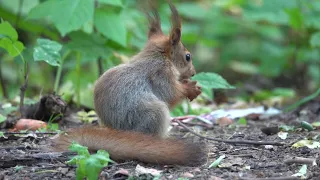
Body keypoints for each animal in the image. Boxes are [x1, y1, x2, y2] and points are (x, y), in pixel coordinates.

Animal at [53, 1, 205, 167]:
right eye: (188, 56)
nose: (193, 73)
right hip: (153, 114)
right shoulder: (161, 74)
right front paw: (190, 88)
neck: (157, 56)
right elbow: (171, 95)